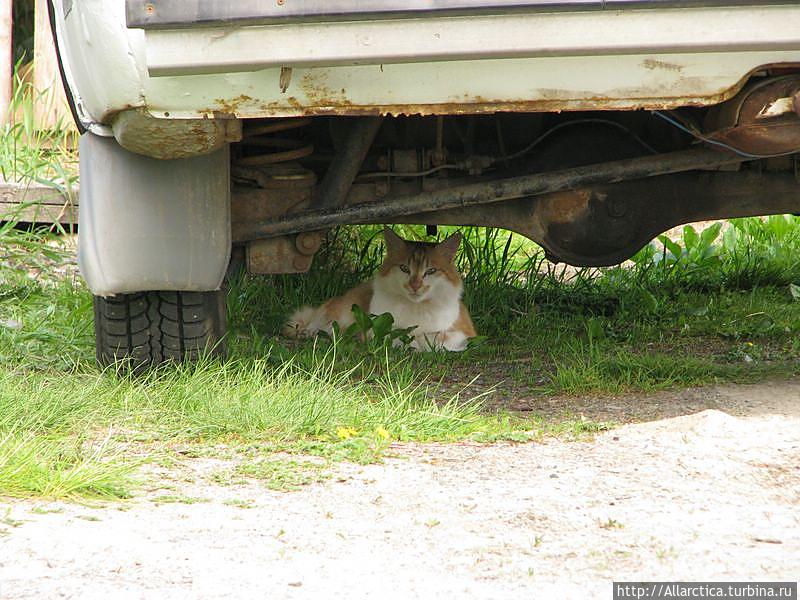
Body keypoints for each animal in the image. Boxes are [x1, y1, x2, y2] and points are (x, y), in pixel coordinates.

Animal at [282, 229, 476, 352]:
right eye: (404, 268)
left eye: (431, 271)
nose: (415, 286)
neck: (416, 306)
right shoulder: (375, 328)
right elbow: (395, 336)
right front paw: (409, 344)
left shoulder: (465, 331)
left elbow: (436, 337)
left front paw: (420, 344)